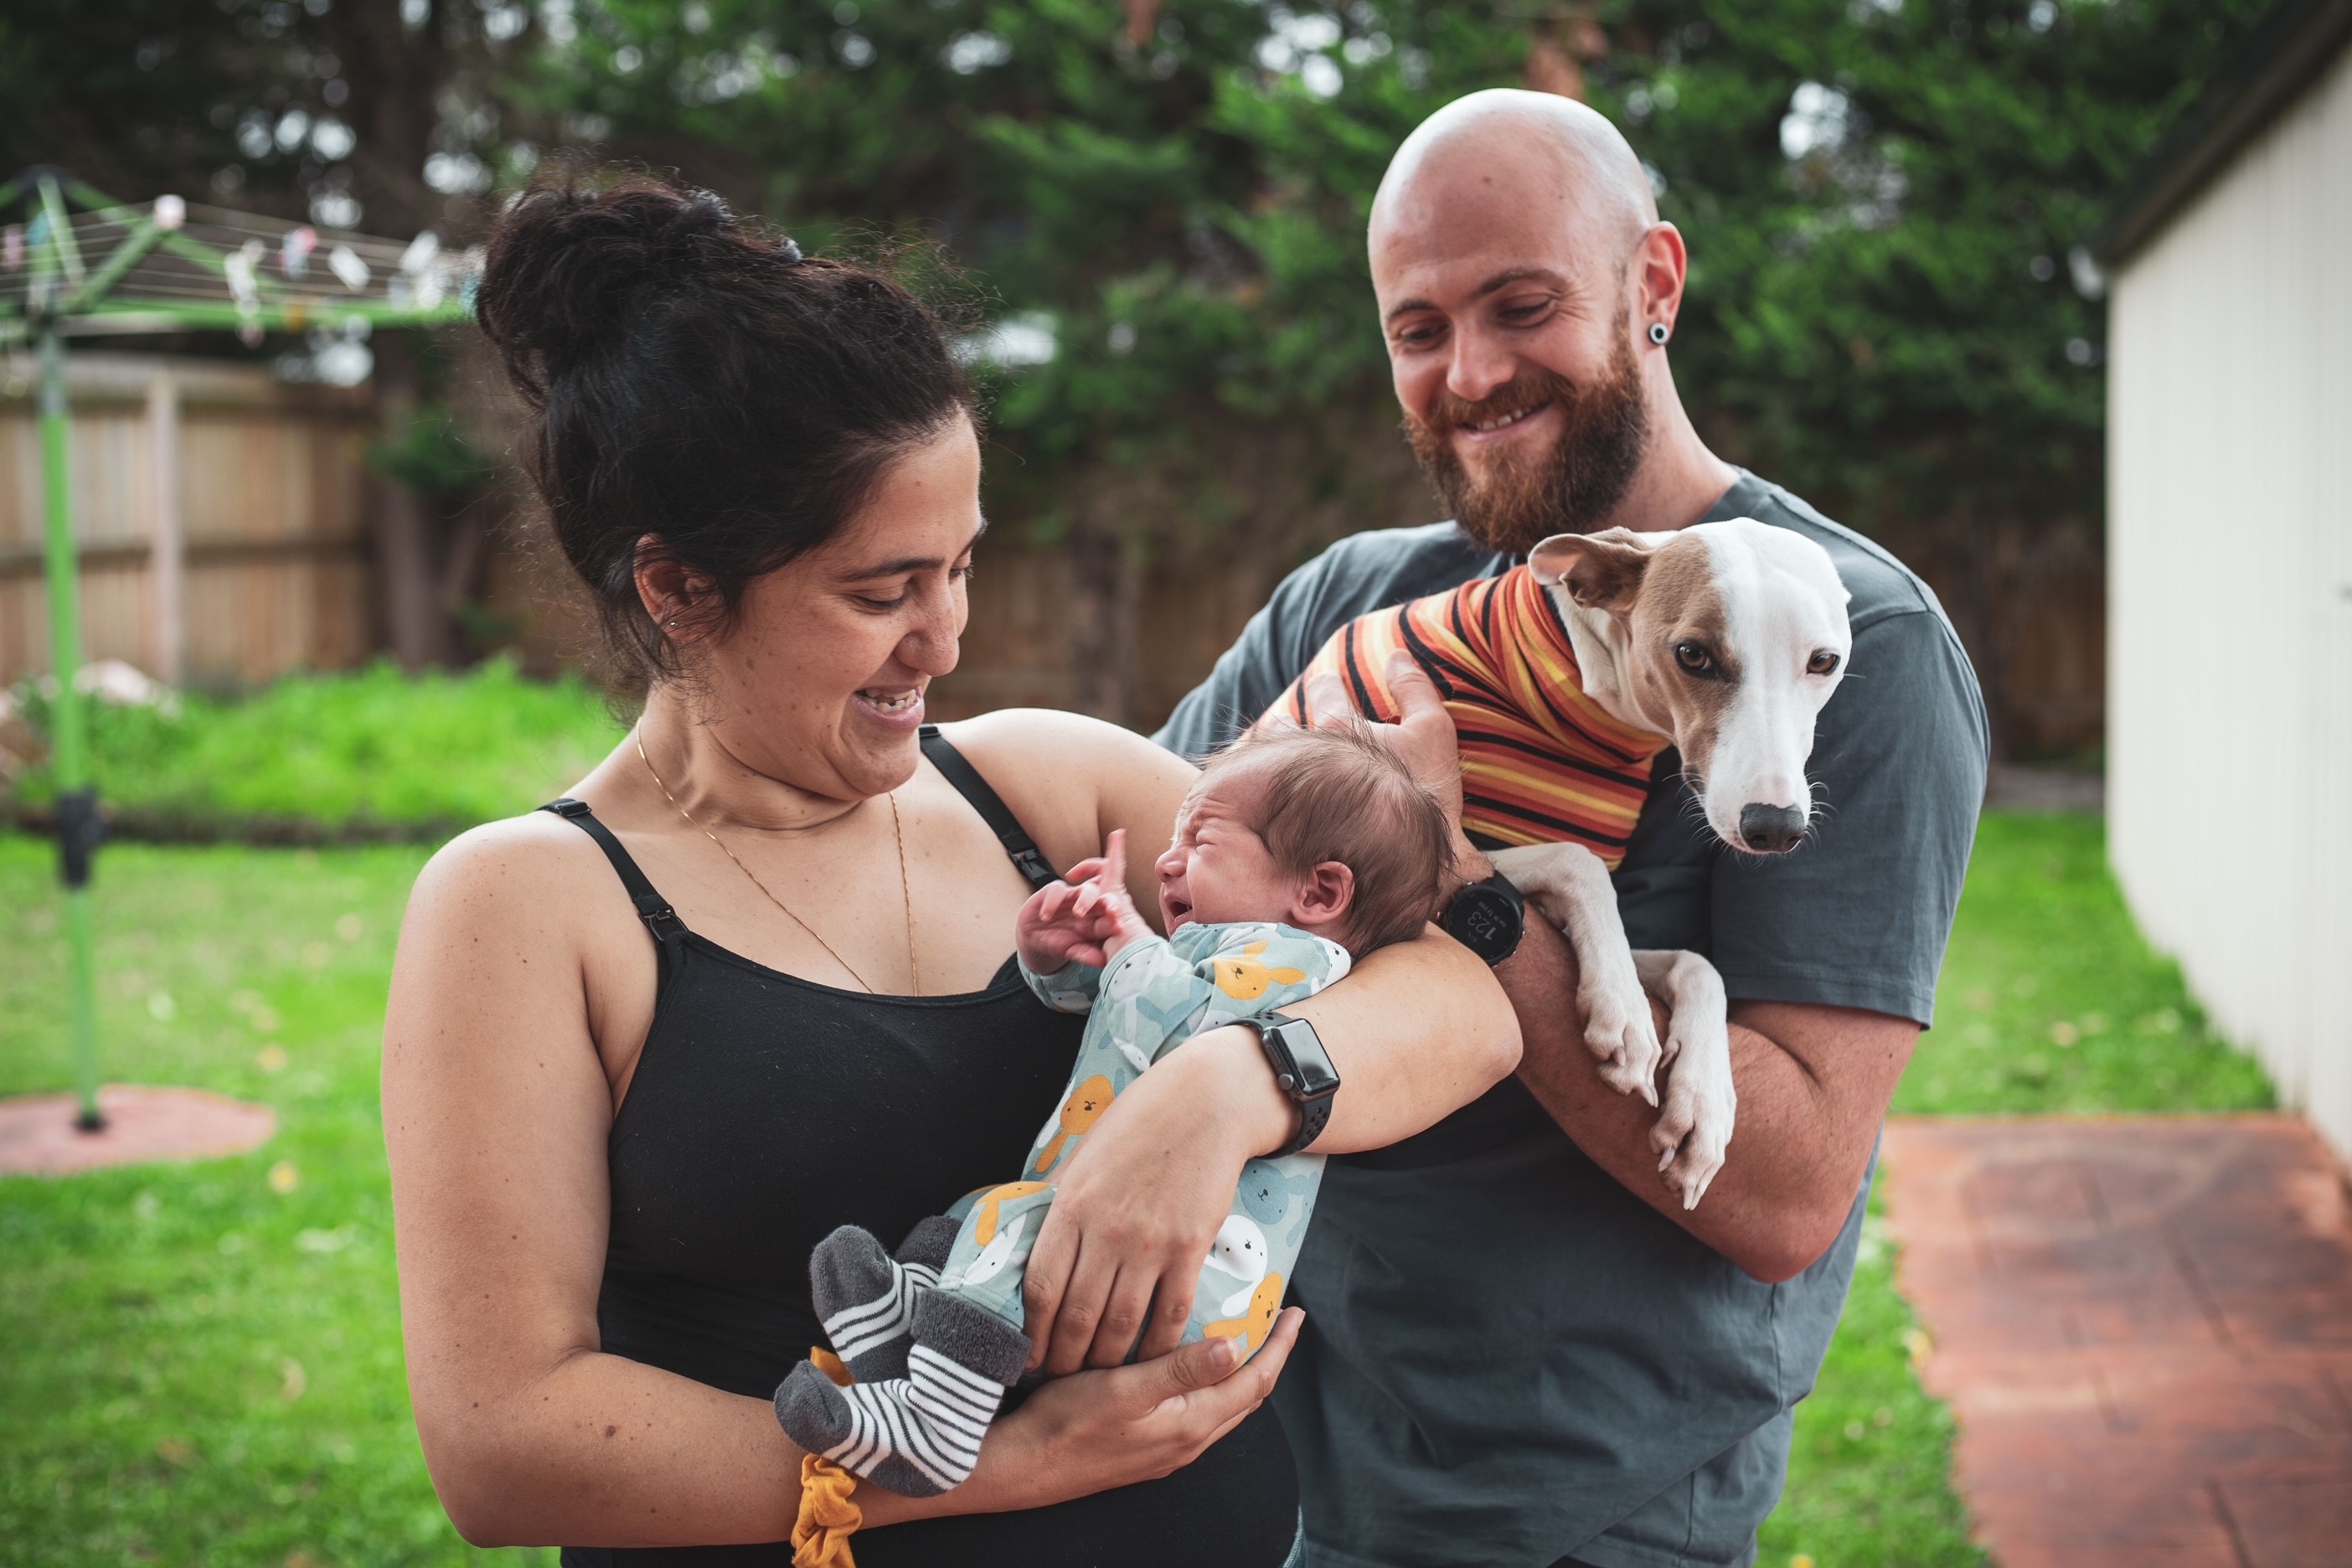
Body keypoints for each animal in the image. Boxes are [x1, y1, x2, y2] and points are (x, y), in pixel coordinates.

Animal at [1279, 522, 1844, 1213]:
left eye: (1824, 661)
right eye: (1692, 655)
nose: (1774, 826)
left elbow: (1698, 965)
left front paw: (1705, 1103)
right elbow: (1580, 862)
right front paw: (1623, 1012)